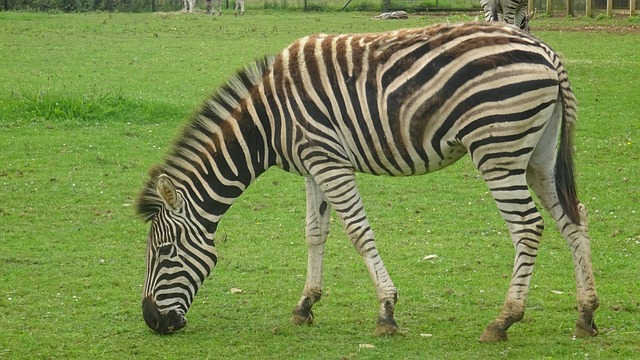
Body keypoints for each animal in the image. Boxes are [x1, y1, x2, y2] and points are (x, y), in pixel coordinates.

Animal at [136, 21, 600, 342]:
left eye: (164, 251)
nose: (152, 321)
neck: (267, 121)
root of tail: (546, 51)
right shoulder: (314, 163)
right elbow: (314, 232)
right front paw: (305, 305)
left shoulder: (328, 159)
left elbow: (358, 233)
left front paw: (386, 312)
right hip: (538, 154)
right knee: (573, 217)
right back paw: (586, 314)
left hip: (497, 151)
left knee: (528, 227)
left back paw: (503, 320)